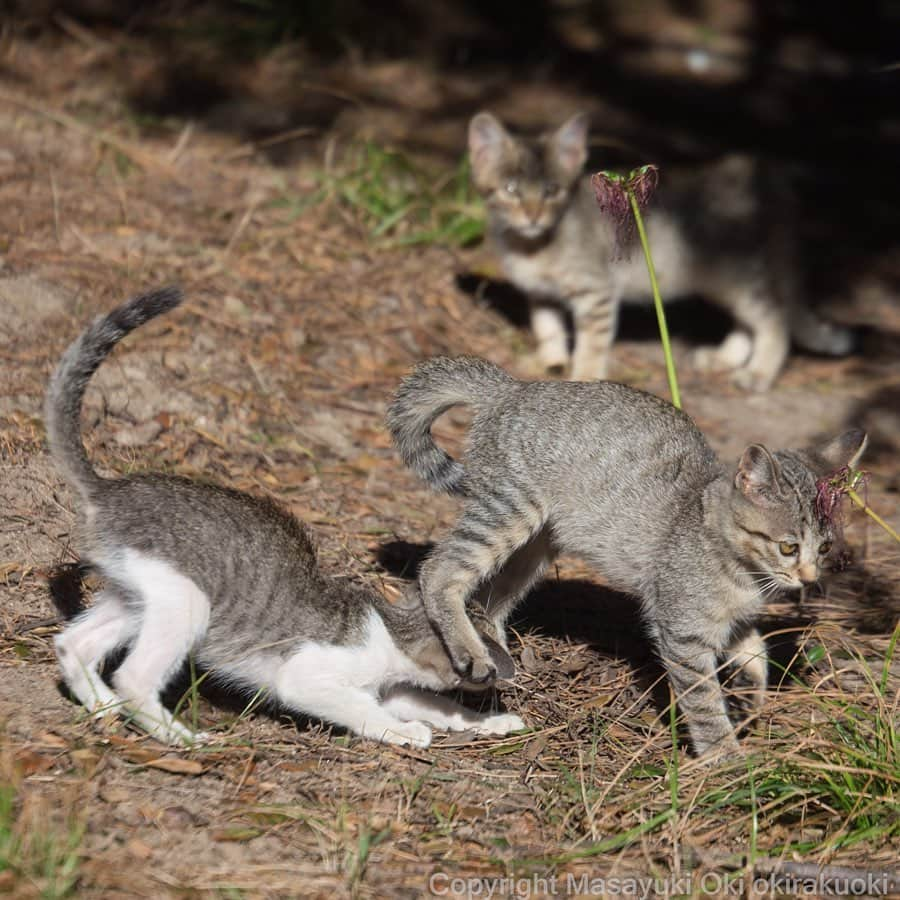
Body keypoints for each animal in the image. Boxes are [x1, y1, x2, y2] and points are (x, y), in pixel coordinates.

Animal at [45, 292, 524, 748]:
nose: (501, 676)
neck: (391, 632)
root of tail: (107, 489)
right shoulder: (308, 676)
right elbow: (363, 708)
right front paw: (404, 732)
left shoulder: (392, 688)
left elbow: (432, 704)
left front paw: (487, 722)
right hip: (186, 597)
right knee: (132, 677)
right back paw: (177, 736)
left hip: (136, 593)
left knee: (72, 643)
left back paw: (100, 705)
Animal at [390, 356, 868, 756]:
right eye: (788, 546)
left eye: (825, 547)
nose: (808, 578)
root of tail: (512, 388)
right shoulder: (682, 631)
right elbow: (704, 703)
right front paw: (725, 760)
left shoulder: (732, 623)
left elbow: (756, 654)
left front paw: (751, 698)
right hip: (508, 510)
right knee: (439, 571)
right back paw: (470, 650)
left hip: (537, 544)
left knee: (490, 599)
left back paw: (497, 649)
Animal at [468, 110, 856, 390]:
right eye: (511, 189)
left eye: (552, 191)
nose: (532, 215)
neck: (531, 245)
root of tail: (765, 172)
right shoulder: (540, 293)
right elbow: (547, 327)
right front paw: (548, 361)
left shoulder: (597, 292)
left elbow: (591, 343)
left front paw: (583, 376)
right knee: (751, 319)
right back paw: (725, 358)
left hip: (732, 274)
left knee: (774, 319)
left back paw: (758, 372)